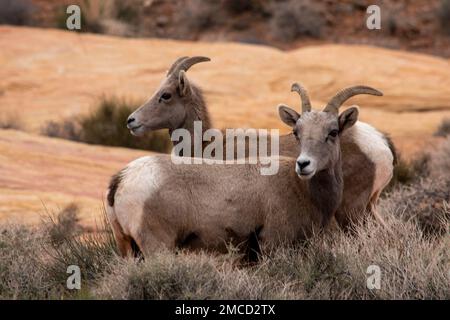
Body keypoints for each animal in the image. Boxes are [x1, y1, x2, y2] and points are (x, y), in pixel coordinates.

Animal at [107, 84, 360, 256]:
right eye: (297, 132)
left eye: (333, 132)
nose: (304, 164)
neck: (302, 189)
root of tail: (122, 179)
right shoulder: (274, 244)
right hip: (157, 247)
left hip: (128, 249)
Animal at [125, 56, 394, 229]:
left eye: (166, 95)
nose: (131, 121)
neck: (207, 147)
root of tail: (381, 147)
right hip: (369, 209)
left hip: (352, 213)